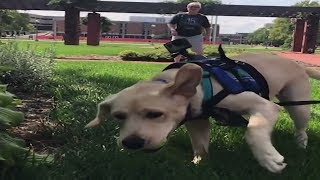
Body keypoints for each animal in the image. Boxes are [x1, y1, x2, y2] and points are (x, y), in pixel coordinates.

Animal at [85, 53, 320, 173]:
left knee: (301, 127)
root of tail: (298, 64)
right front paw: (199, 166)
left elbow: (253, 131)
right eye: (118, 117)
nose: (131, 143)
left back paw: (301, 145)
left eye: (155, 114)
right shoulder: (197, 121)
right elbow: (200, 146)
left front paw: (268, 158)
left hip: (298, 105)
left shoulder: (265, 107)